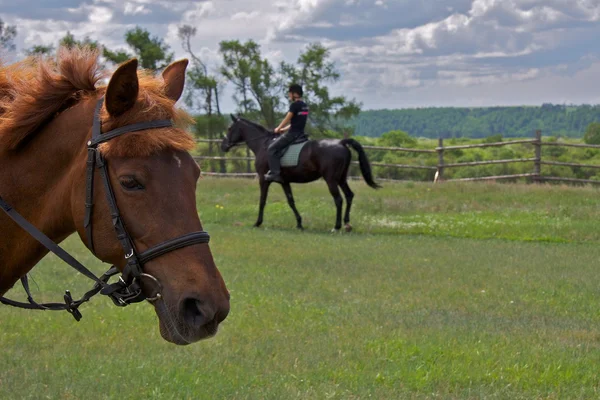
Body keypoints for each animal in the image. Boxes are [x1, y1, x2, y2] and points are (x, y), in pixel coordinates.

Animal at [220, 115, 380, 231]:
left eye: (229, 128)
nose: (223, 146)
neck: (263, 145)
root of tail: (341, 142)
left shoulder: (263, 179)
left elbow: (262, 200)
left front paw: (257, 223)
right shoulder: (284, 181)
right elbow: (291, 201)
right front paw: (299, 224)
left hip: (331, 179)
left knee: (339, 199)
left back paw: (336, 226)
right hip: (341, 178)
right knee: (349, 195)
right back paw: (347, 224)